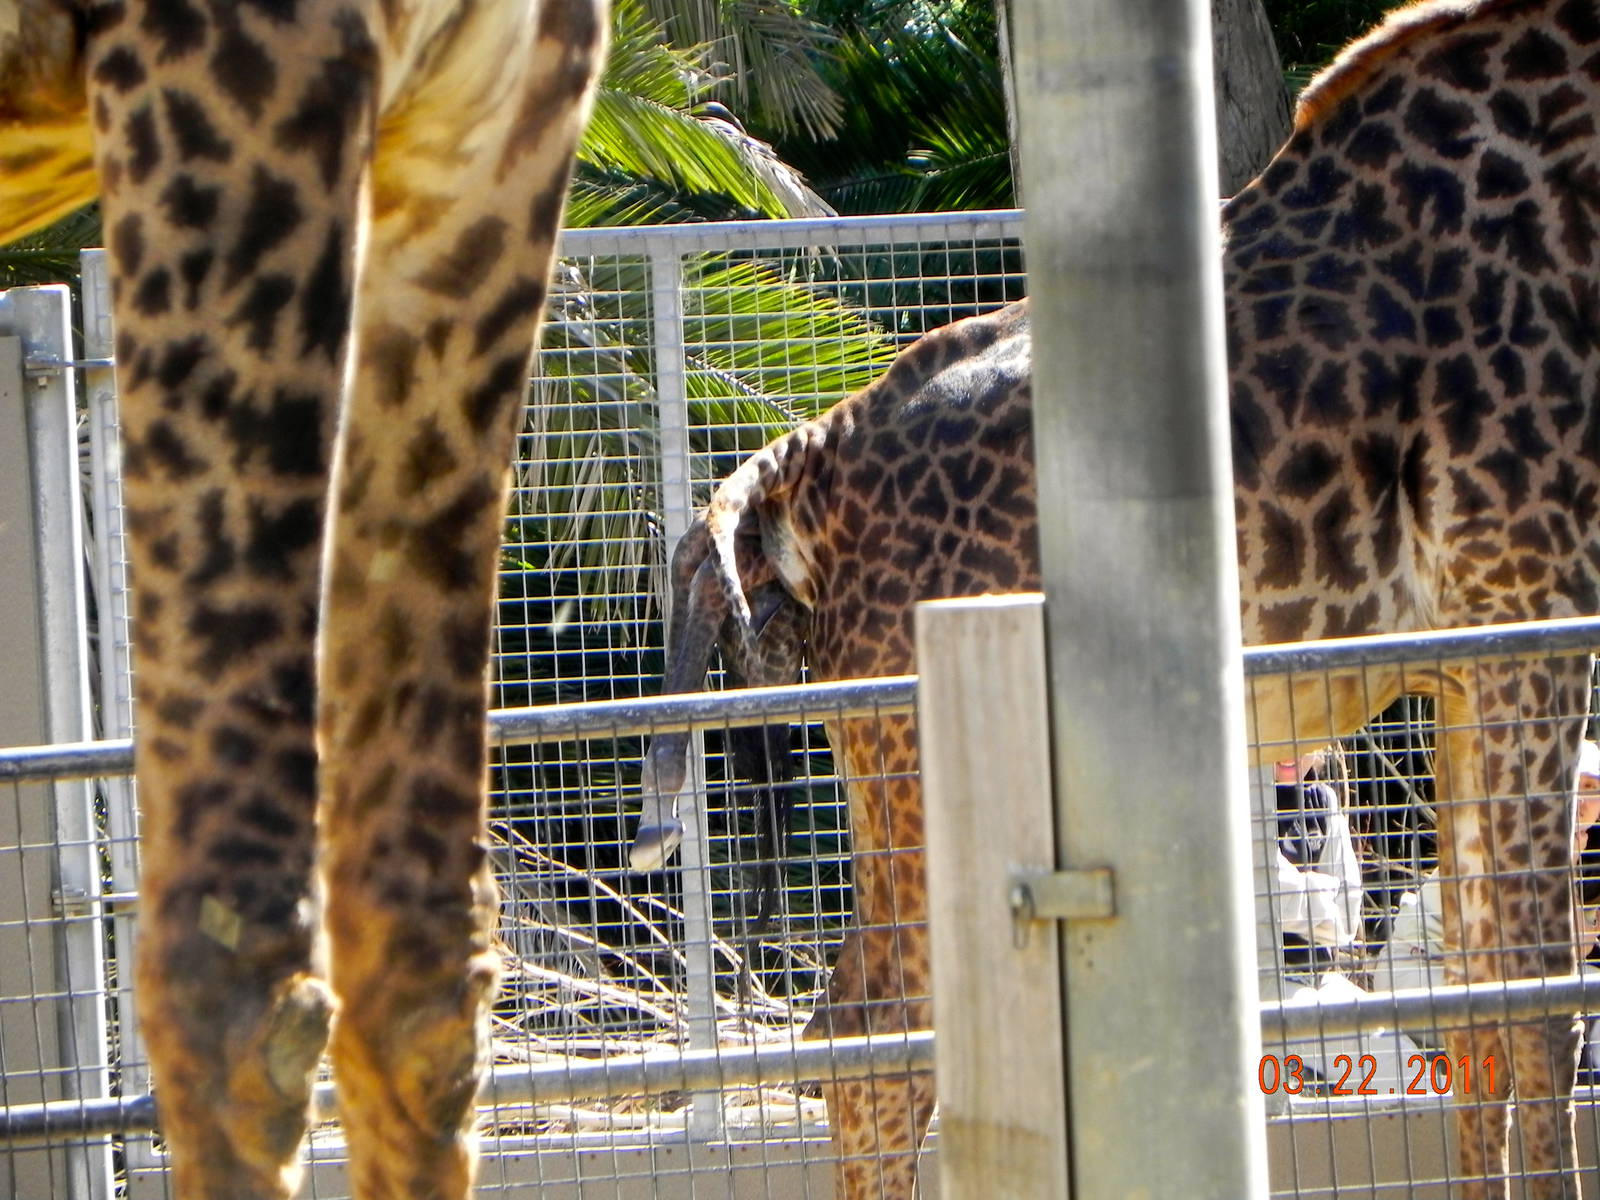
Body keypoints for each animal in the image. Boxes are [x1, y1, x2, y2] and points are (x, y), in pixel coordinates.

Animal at [632, 2, 1600, 1196]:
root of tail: (784, 478)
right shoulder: (1533, 611)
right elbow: (1541, 994)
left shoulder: (1463, 659)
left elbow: (1479, 991)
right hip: (924, 748)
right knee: (879, 1037)